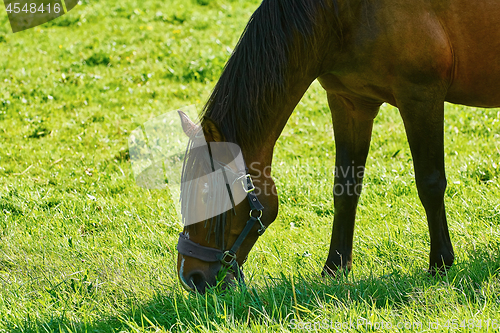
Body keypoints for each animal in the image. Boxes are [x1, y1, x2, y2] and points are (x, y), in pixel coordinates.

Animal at [177, 0, 500, 292]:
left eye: (207, 194)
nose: (191, 276)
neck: (344, 12)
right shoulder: (350, 102)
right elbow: (345, 188)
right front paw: (335, 266)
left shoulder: (420, 97)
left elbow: (430, 184)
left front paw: (440, 264)